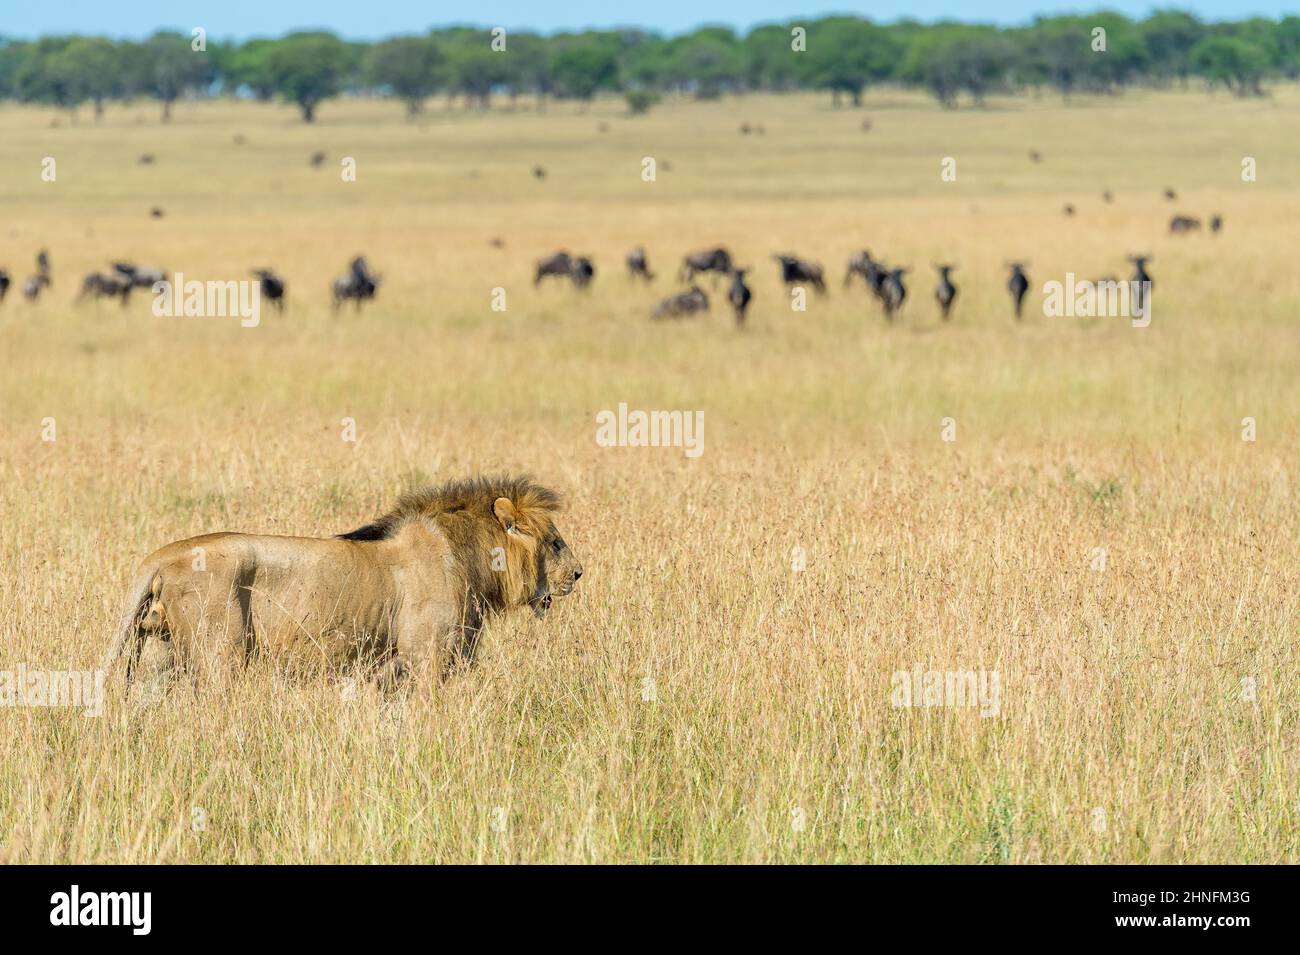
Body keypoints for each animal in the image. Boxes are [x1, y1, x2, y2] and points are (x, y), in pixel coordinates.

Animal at [106, 475, 585, 696]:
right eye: (555, 542)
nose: (579, 573)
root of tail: (159, 556)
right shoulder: (426, 658)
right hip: (219, 654)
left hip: (163, 655)